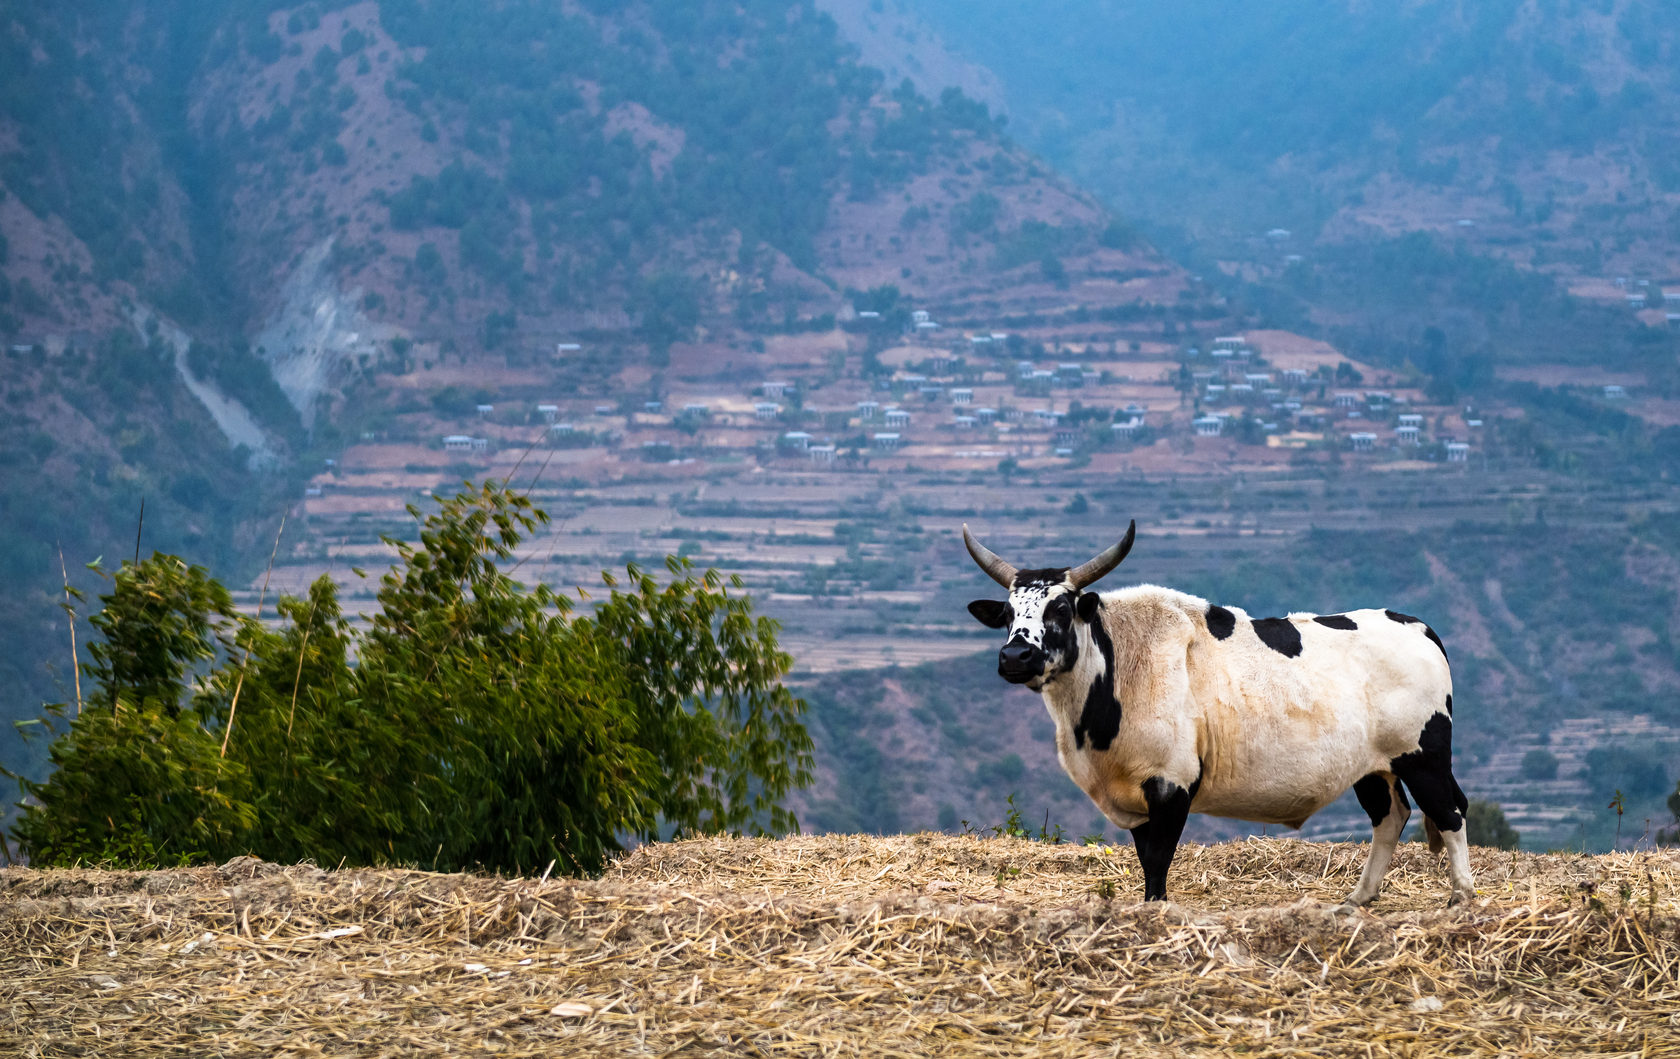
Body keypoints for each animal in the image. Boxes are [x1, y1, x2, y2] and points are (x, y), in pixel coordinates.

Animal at [967, 527, 1478, 907]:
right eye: (1008, 613)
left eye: (1060, 608)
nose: (1014, 656)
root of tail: (1414, 625)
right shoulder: (1136, 797)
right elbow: (1146, 859)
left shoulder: (1172, 783)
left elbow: (1158, 860)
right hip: (1372, 768)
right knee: (1390, 816)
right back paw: (1358, 898)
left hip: (1424, 758)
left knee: (1449, 813)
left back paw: (1461, 896)